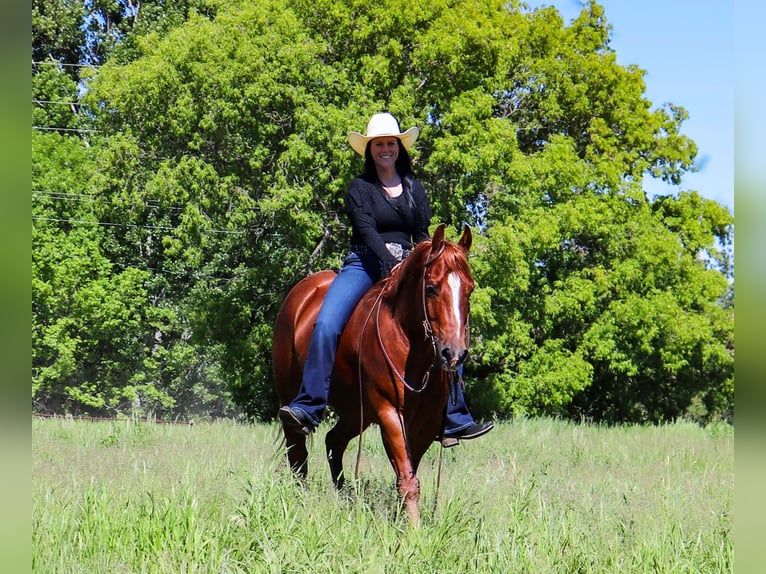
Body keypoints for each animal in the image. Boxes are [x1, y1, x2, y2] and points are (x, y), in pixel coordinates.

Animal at [270, 224, 474, 528]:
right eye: (431, 288)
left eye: (469, 289)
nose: (454, 354)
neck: (407, 340)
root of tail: (300, 294)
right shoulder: (389, 413)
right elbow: (407, 479)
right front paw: (414, 531)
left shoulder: (425, 423)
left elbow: (408, 472)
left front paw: (403, 520)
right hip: (291, 397)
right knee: (298, 453)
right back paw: (301, 500)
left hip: (356, 412)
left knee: (334, 442)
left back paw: (344, 499)